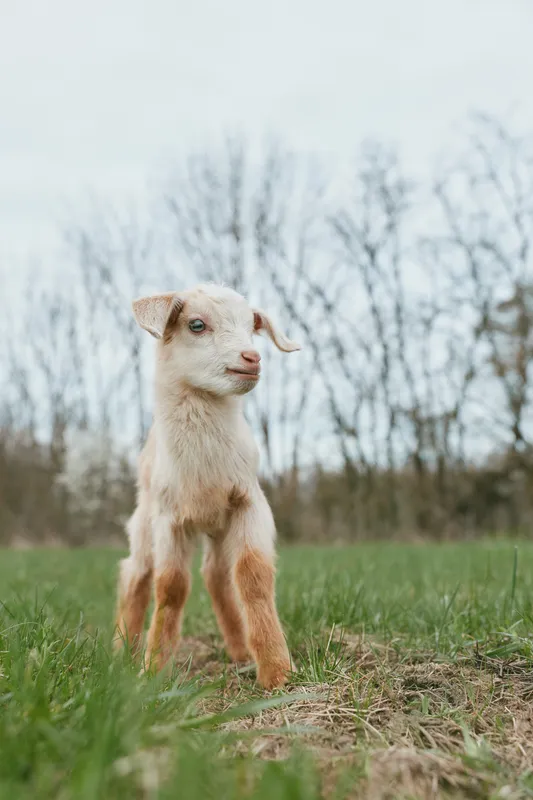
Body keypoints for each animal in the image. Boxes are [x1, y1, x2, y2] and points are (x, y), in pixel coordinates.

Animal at [114, 283, 300, 689]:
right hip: (144, 520)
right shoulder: (169, 518)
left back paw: (240, 650)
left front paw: (277, 673)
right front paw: (154, 670)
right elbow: (170, 586)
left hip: (217, 524)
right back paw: (120, 652)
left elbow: (251, 575)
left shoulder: (249, 502)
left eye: (251, 326)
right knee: (136, 574)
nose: (252, 358)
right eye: (196, 325)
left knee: (216, 576)